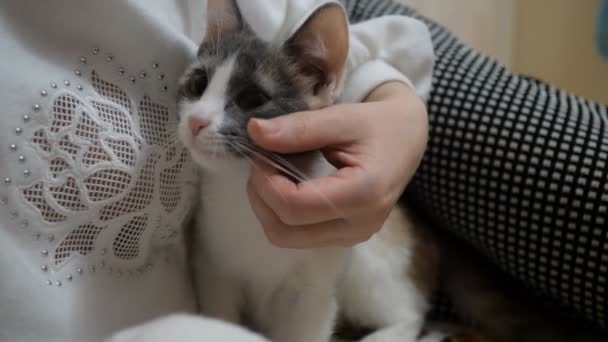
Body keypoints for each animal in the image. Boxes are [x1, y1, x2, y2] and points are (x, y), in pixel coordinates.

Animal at [176, 0, 608, 342]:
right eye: (198, 84)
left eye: (252, 98)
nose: (196, 121)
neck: (240, 192)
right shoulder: (213, 269)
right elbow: (219, 319)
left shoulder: (312, 288)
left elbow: (306, 326)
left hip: (372, 259)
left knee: (411, 311)